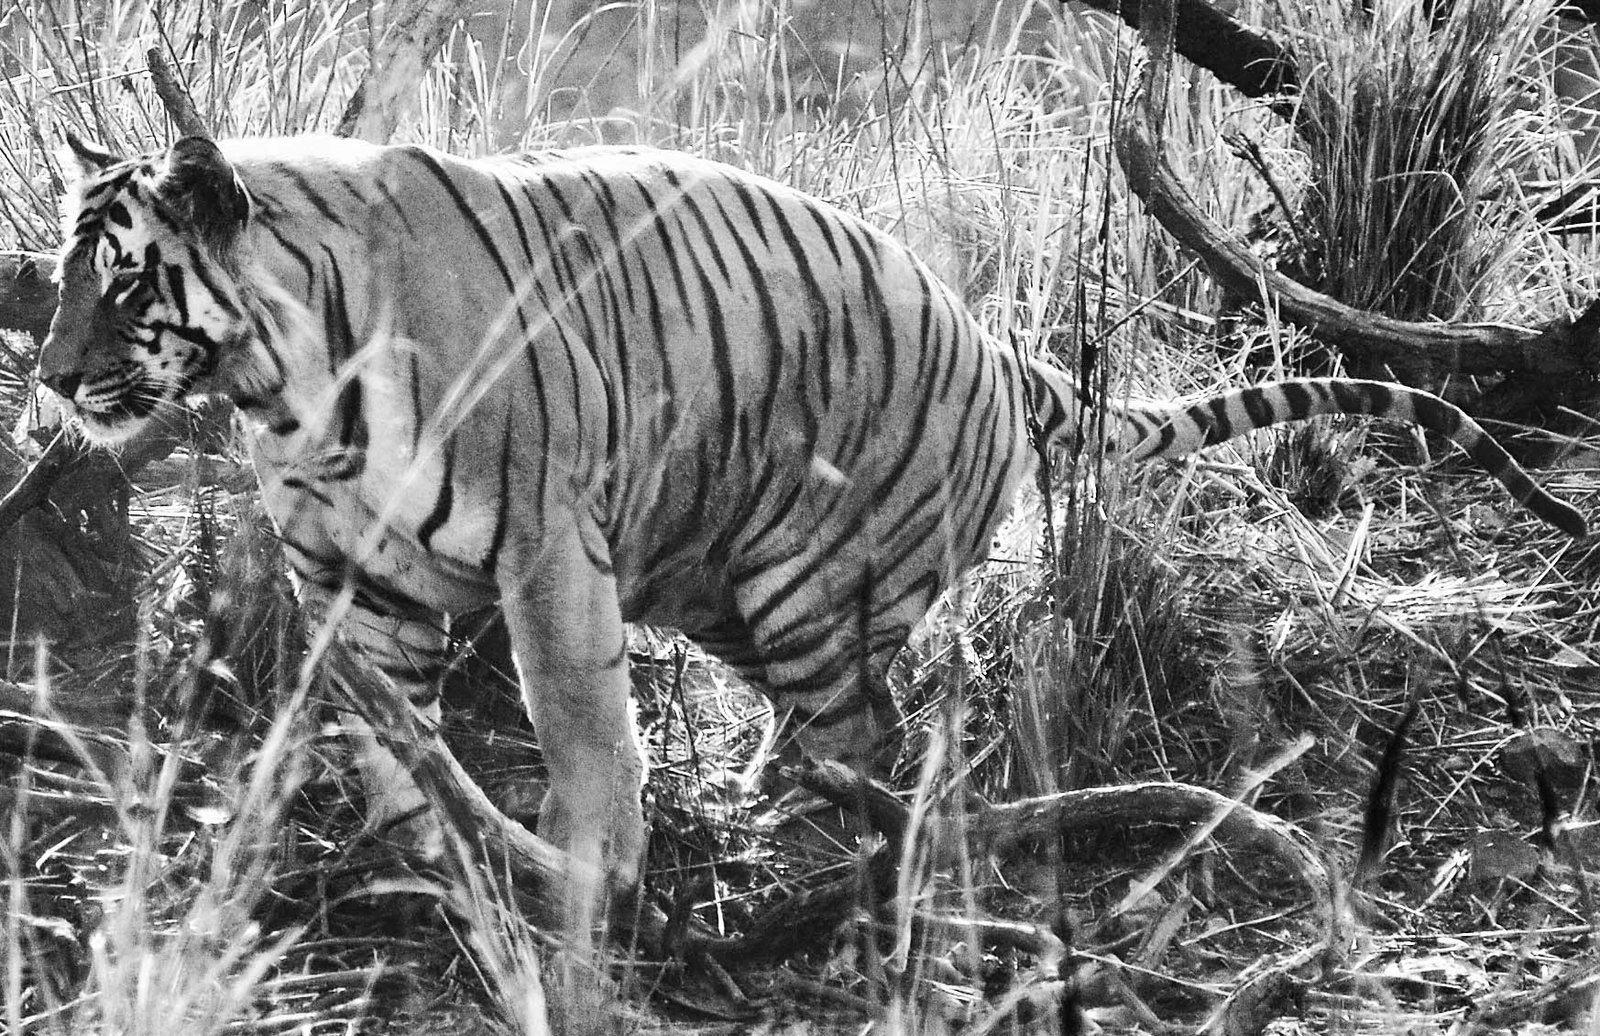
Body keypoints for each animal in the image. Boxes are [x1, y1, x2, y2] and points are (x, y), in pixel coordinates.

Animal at [37, 135, 1587, 920]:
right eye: (59, 276)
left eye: (123, 283)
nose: (48, 377)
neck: (287, 384)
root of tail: (994, 343)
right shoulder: (356, 582)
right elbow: (376, 730)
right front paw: (420, 853)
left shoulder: (545, 547)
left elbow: (579, 732)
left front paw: (587, 869)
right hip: (723, 581)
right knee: (832, 736)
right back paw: (763, 805)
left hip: (810, 581)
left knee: (872, 750)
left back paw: (807, 855)